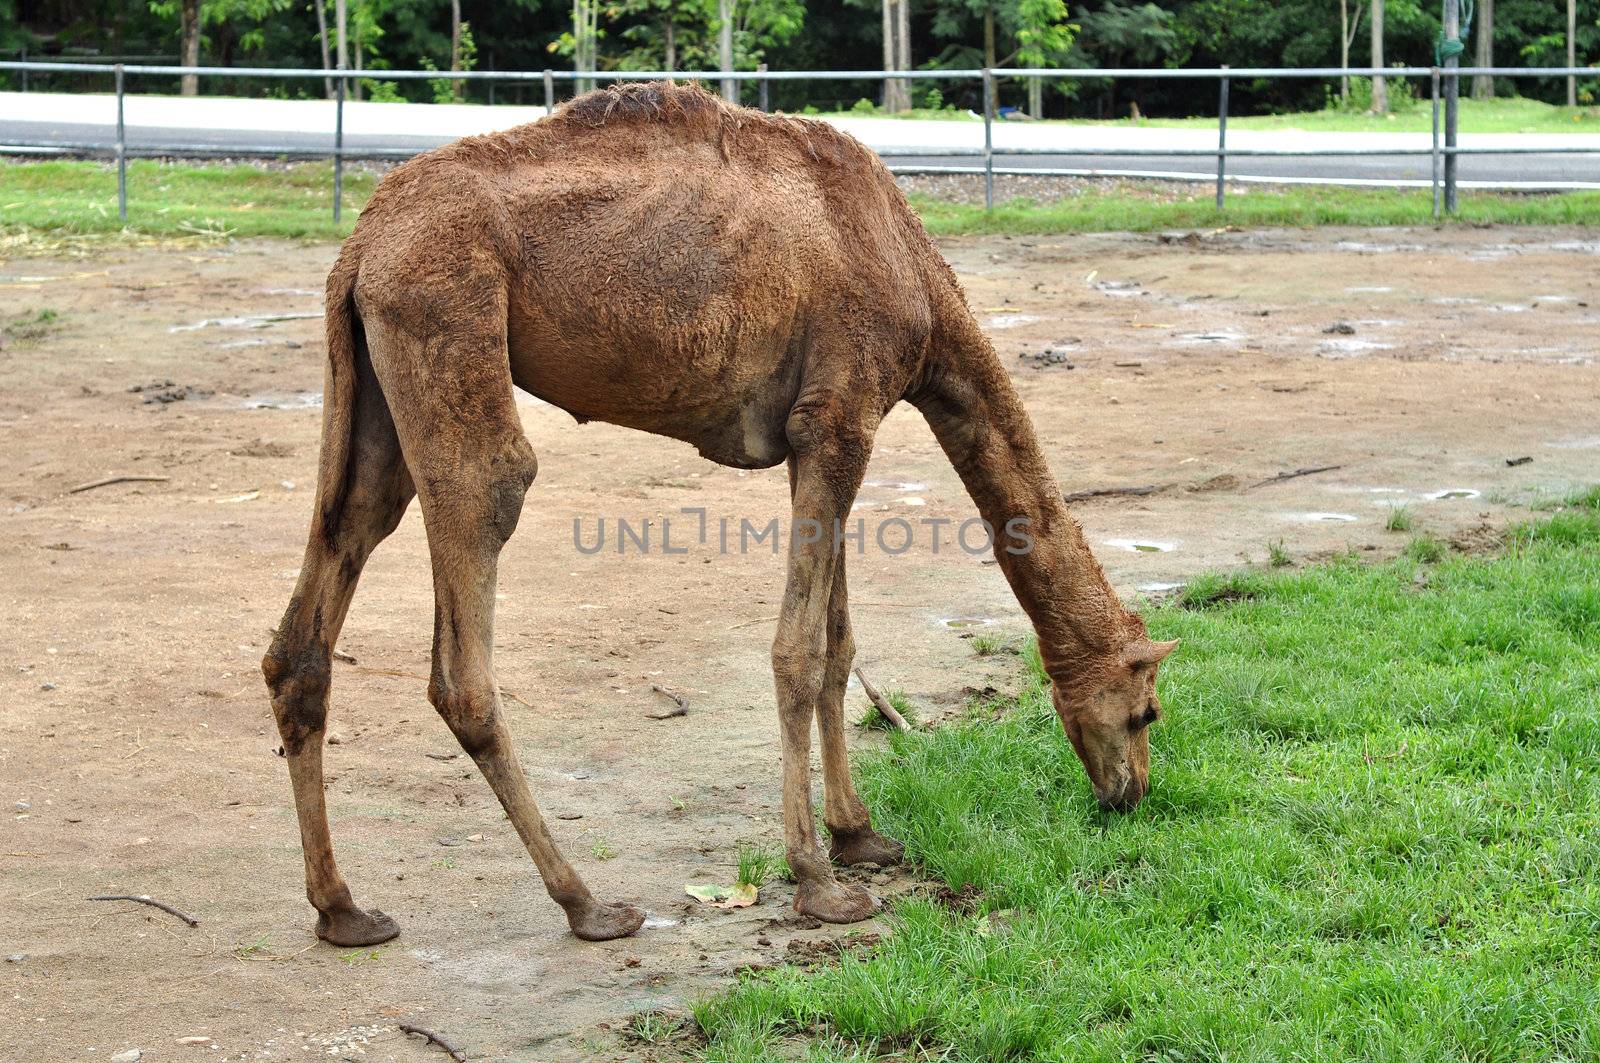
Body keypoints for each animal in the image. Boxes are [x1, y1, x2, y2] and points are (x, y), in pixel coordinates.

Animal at [262, 83, 1177, 947]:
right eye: (1147, 710)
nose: (1130, 793)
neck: (909, 267)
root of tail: (360, 248)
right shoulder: (839, 415)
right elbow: (799, 652)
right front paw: (819, 881)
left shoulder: (827, 431)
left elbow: (840, 641)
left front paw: (861, 835)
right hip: (446, 319)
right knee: (476, 581)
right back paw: (589, 903)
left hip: (373, 389)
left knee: (318, 602)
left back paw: (343, 909)